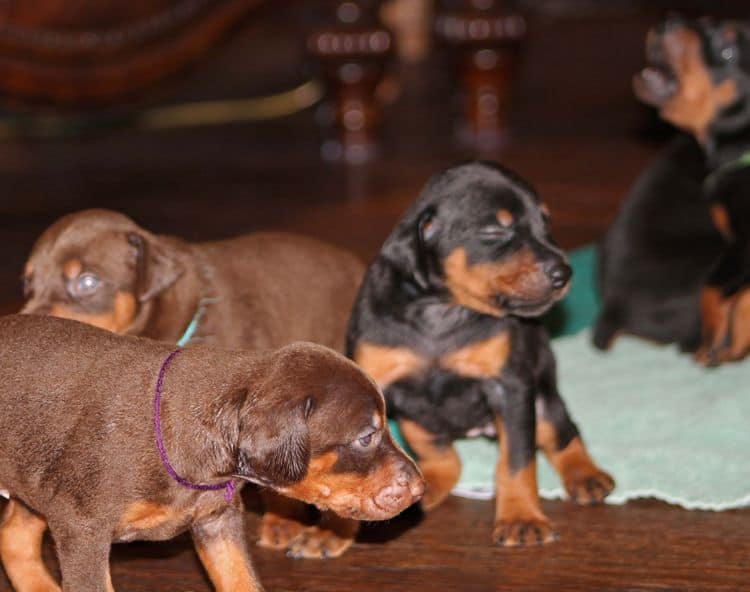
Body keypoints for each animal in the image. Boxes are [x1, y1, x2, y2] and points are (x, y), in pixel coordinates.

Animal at [0, 314, 424, 592]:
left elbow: (242, 580)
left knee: (14, 537)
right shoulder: (82, 532)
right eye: (366, 437)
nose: (420, 489)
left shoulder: (218, 521)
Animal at [346, 161, 616, 544]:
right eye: (494, 231)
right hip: (418, 423)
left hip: (542, 399)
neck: (441, 311)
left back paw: (585, 474)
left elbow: (517, 461)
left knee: (562, 432)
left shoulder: (511, 387)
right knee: (446, 463)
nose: (564, 272)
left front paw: (522, 517)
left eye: (546, 223)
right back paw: (418, 492)